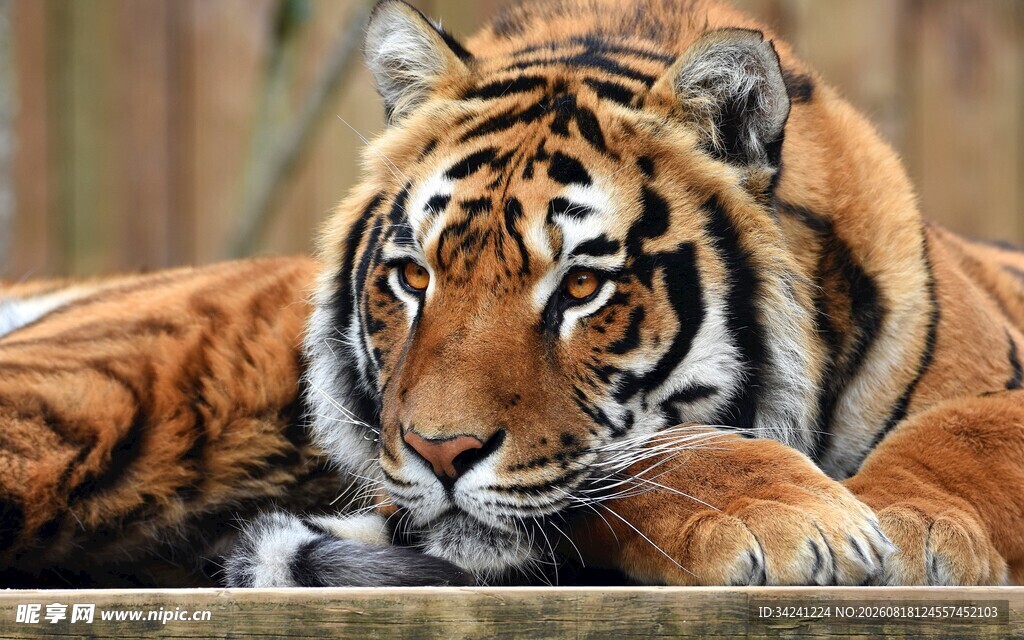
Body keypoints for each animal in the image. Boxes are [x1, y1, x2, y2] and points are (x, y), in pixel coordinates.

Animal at [4, 0, 1024, 588]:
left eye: (581, 286)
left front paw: (916, 529)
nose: (441, 453)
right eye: (415, 276)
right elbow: (656, 457)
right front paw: (793, 521)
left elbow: (974, 429)